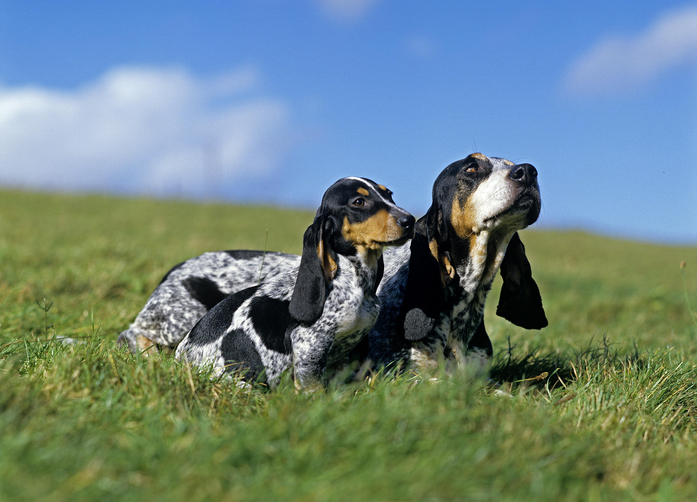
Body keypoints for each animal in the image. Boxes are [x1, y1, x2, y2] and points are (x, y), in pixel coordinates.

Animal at [174, 178, 414, 390]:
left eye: (389, 195)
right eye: (359, 202)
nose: (409, 220)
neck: (353, 278)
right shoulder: (310, 344)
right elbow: (313, 388)